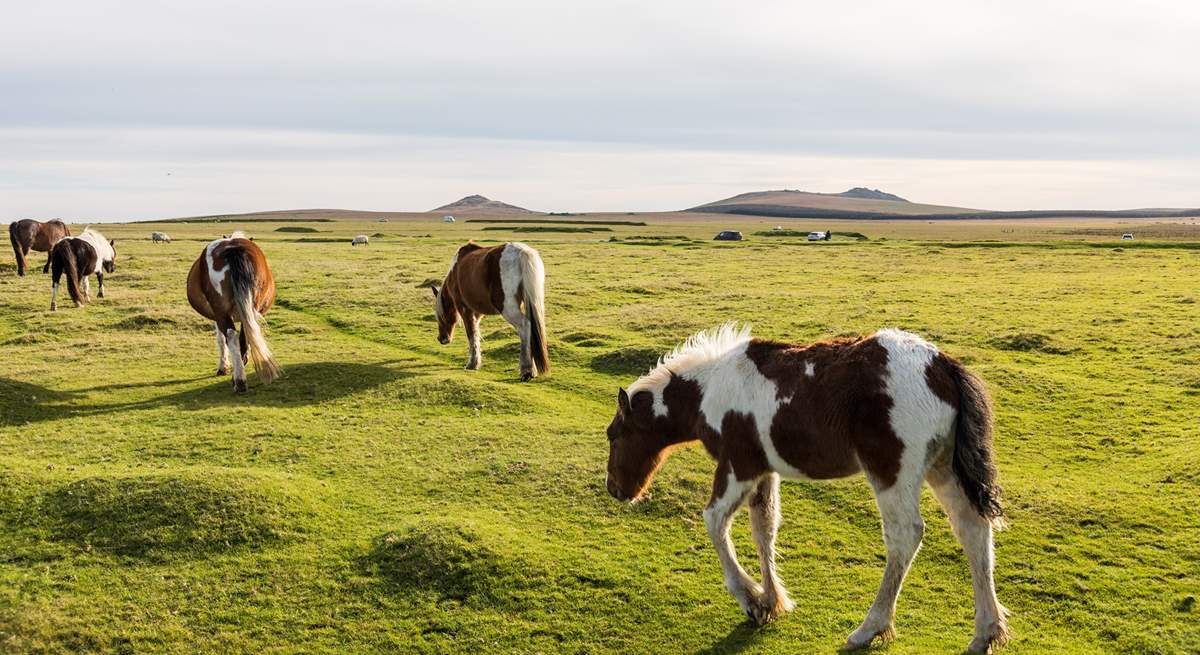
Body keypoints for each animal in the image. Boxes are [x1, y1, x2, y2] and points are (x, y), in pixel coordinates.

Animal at [184, 230, 280, 391]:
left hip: (221, 310)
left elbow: (221, 339)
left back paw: (239, 380)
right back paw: (240, 376)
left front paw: (223, 367)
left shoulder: (217, 316)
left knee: (231, 336)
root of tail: (233, 247)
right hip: (250, 308)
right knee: (243, 335)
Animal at [434, 241, 549, 379]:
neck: (455, 271)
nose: (441, 338)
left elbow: (471, 334)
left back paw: (527, 370)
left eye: (440, 316)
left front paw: (472, 364)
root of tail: (522, 251)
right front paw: (476, 362)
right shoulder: (476, 313)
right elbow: (476, 333)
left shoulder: (465, 309)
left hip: (508, 308)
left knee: (525, 326)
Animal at [604, 323, 1008, 647]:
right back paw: (985, 632)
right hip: (943, 468)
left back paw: (869, 629)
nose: (614, 489)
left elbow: (715, 522)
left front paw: (750, 600)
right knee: (972, 529)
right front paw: (771, 600)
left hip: (892, 471)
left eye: (614, 436)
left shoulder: (737, 467)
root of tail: (942, 366)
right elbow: (764, 529)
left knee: (905, 536)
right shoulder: (764, 471)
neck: (710, 390)